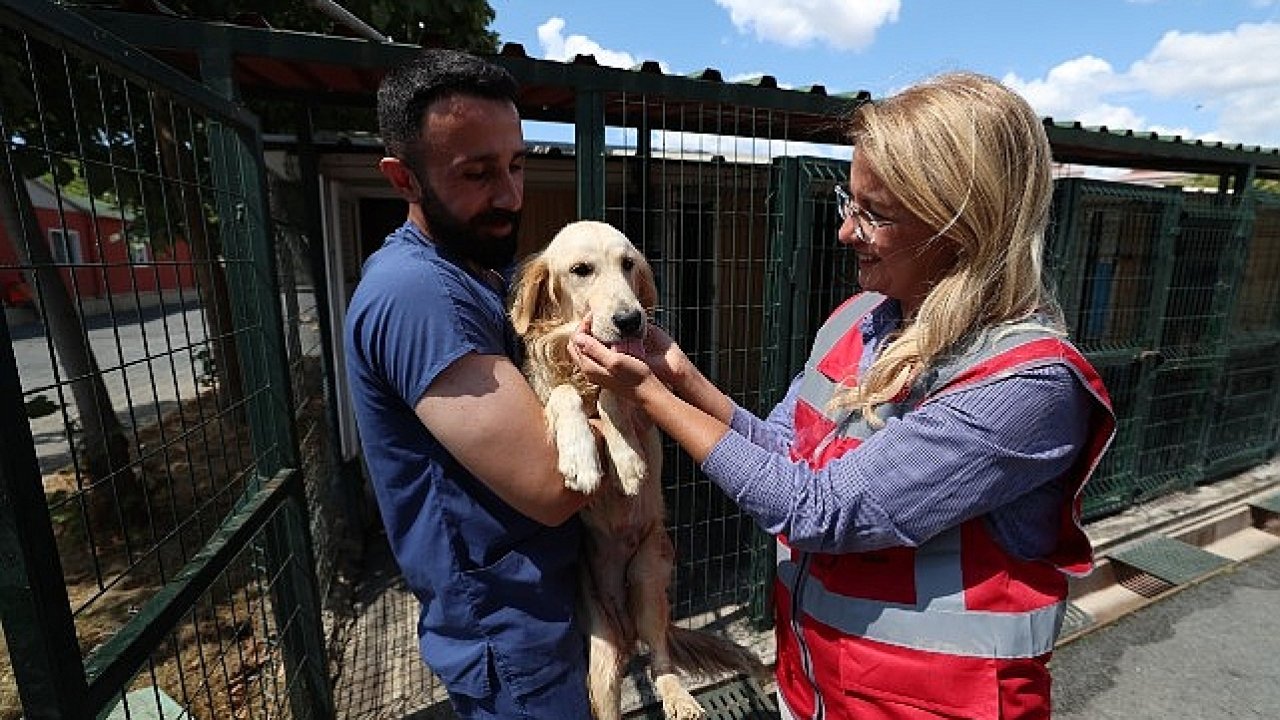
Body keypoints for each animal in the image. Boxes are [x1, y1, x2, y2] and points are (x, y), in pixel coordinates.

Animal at [509, 220, 762, 717]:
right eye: (581, 270)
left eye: (628, 264)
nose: (631, 320)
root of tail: (626, 628)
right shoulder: (543, 396)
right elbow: (563, 396)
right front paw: (581, 460)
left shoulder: (643, 405)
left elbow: (616, 395)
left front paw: (626, 463)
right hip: (601, 654)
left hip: (648, 577)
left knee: (661, 659)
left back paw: (680, 698)